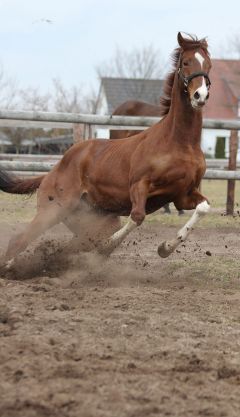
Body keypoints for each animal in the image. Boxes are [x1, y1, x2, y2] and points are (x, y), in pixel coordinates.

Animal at [0, 34, 211, 264]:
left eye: (208, 64)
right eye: (186, 62)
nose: (200, 95)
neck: (179, 143)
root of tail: (52, 171)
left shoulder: (182, 194)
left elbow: (204, 207)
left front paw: (164, 248)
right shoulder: (139, 185)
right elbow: (137, 216)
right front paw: (106, 248)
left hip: (93, 219)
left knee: (76, 242)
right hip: (53, 210)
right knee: (19, 240)